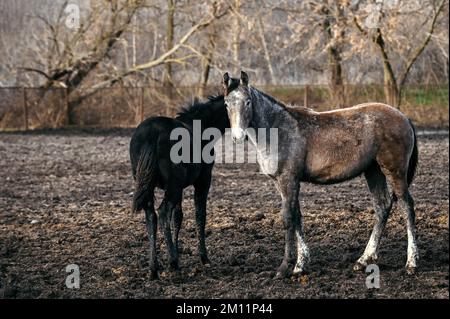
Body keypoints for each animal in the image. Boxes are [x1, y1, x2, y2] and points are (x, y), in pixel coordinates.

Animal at [129, 95, 229, 280]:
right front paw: (203, 258)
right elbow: (200, 215)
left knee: (151, 216)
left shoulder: (180, 188)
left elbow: (177, 217)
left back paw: (153, 269)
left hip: (153, 187)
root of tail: (152, 131)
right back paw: (173, 263)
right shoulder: (203, 181)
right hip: (173, 186)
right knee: (162, 213)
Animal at [224, 71, 418, 278]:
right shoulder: (285, 183)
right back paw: (363, 260)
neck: (278, 129)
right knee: (382, 206)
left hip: (395, 171)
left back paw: (411, 263)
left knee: (407, 207)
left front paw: (284, 267)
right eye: (226, 103)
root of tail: (404, 117)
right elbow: (297, 217)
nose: (237, 136)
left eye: (248, 102)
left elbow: (288, 219)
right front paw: (300, 265)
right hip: (373, 171)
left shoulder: (288, 180)